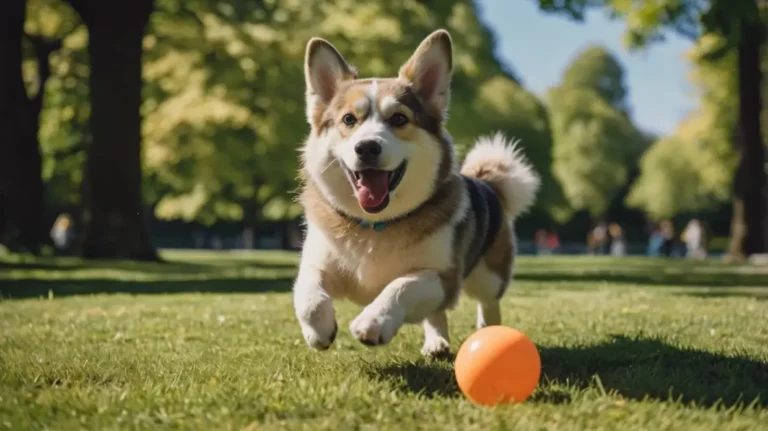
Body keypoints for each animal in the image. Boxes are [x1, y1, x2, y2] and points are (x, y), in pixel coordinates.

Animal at [294, 27, 540, 358]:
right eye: (349, 119)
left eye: (399, 118)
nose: (367, 147)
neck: (375, 227)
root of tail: (486, 182)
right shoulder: (317, 261)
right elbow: (307, 292)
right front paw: (319, 329)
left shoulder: (444, 279)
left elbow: (402, 285)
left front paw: (373, 321)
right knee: (435, 314)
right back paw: (436, 341)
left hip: (489, 275)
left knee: (489, 304)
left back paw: (489, 334)